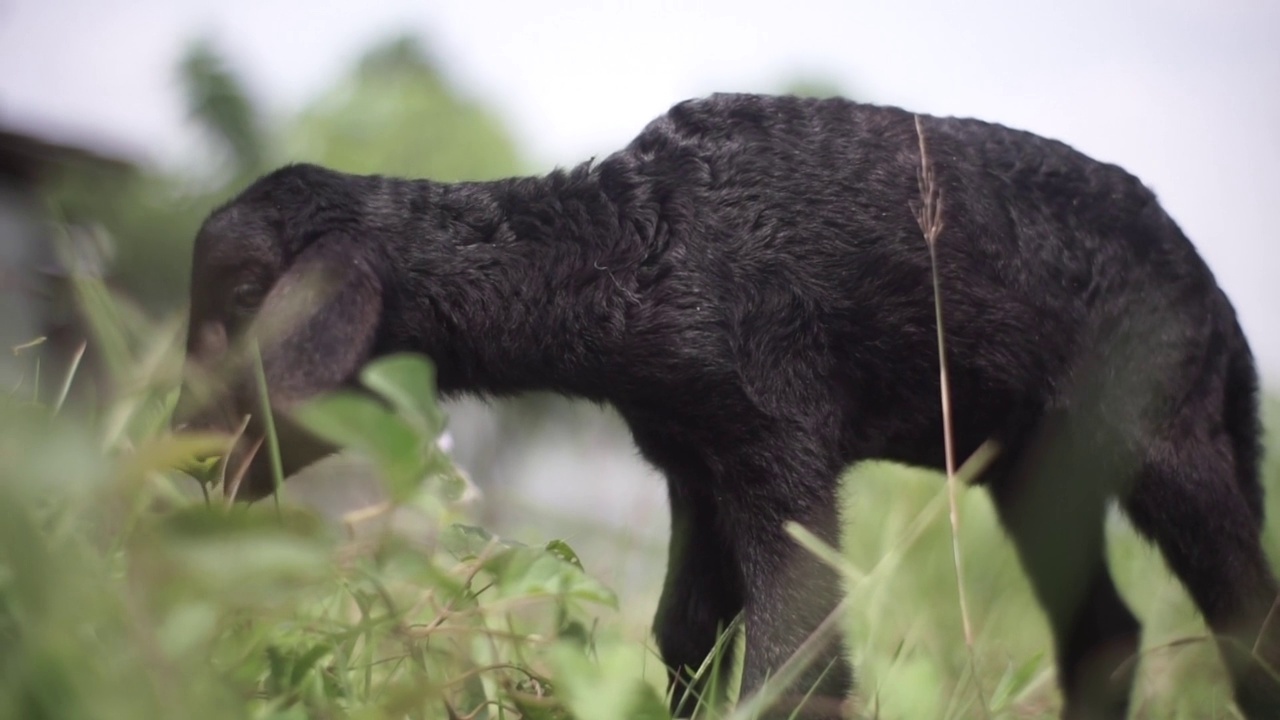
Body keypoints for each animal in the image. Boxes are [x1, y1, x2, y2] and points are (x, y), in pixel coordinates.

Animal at [177, 92, 1280, 712]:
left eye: (245, 296)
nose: (184, 459)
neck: (631, 248)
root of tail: (1224, 312)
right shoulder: (696, 462)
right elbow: (685, 639)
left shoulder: (780, 439)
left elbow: (797, 661)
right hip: (1039, 471)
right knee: (1104, 635)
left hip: (1169, 435)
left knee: (1245, 618)